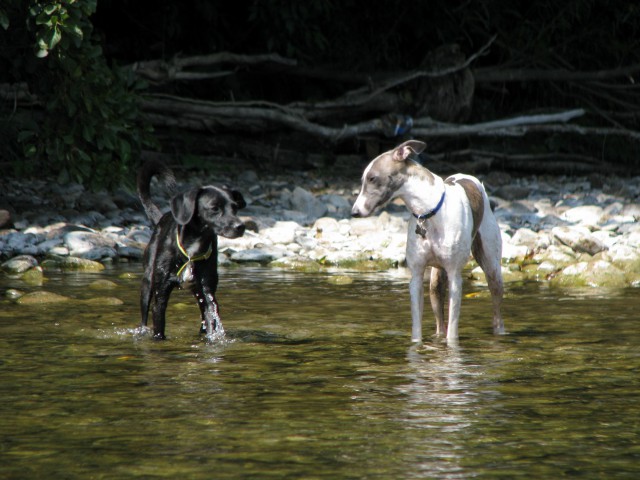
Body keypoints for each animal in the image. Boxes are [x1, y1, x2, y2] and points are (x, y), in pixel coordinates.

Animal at [136, 162, 246, 342]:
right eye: (214, 208)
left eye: (235, 208)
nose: (240, 227)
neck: (190, 251)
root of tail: (161, 218)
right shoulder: (161, 295)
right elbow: (158, 326)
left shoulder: (208, 293)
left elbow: (211, 319)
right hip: (147, 283)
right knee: (144, 316)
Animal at [350, 139, 504, 342]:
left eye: (373, 178)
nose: (354, 212)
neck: (428, 212)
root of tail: (468, 177)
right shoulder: (416, 277)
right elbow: (417, 328)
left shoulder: (455, 277)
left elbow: (452, 332)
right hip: (436, 282)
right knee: (439, 319)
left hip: (491, 266)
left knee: (496, 303)